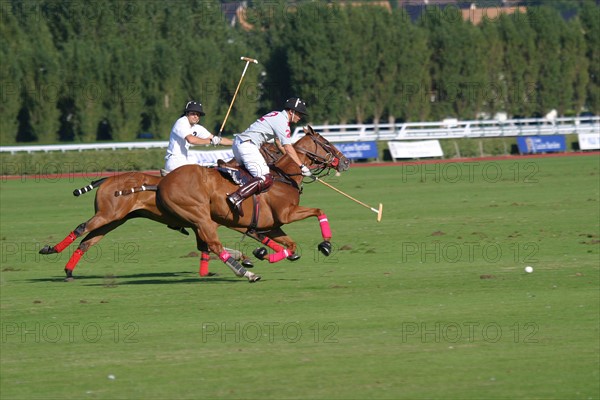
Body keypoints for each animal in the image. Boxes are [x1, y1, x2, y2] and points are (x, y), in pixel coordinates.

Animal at [155, 126, 352, 282]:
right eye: (326, 142)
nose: (346, 161)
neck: (284, 177)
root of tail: (163, 183)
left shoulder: (271, 226)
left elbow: (291, 245)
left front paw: (264, 255)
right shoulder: (287, 214)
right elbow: (319, 210)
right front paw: (326, 245)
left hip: (200, 221)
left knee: (206, 245)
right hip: (200, 217)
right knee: (213, 245)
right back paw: (247, 273)